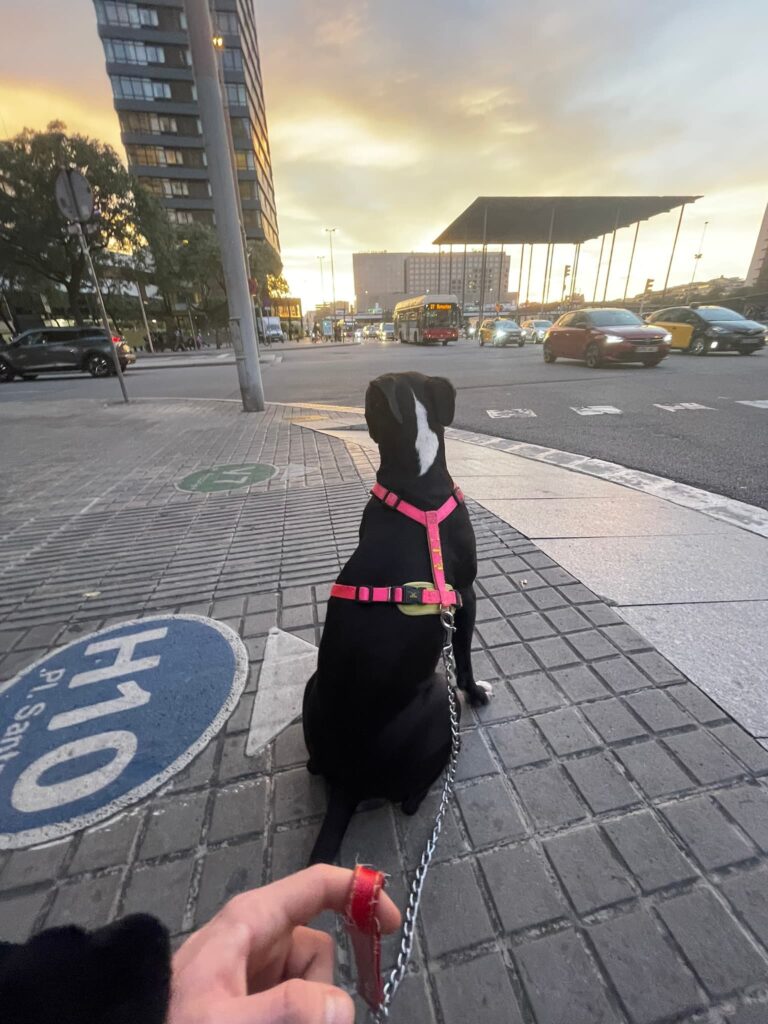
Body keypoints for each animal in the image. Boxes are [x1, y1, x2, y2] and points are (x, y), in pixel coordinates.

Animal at [303, 370, 493, 864]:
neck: (416, 484)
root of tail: (349, 783)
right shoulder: (466, 595)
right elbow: (465, 661)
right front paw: (478, 692)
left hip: (313, 689)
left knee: (313, 766)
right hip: (437, 699)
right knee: (409, 800)